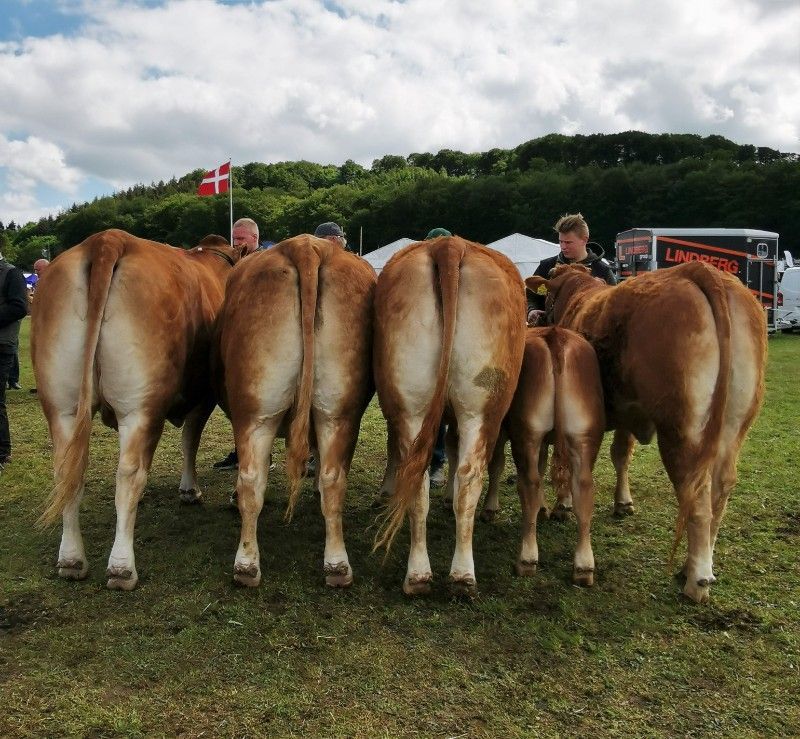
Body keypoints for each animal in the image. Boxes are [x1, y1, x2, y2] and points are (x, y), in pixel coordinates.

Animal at [32, 228, 239, 592]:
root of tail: (107, 240)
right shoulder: (203, 397)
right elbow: (190, 440)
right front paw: (189, 490)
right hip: (141, 407)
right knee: (129, 472)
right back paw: (122, 567)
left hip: (62, 407)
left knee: (67, 471)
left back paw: (71, 560)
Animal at [216, 234, 378, 588]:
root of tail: (305, 246)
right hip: (336, 411)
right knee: (332, 479)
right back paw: (336, 565)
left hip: (256, 412)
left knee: (251, 477)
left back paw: (246, 564)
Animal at [374, 236, 524, 596]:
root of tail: (448, 244)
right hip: (484, 407)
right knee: (468, 475)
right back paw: (460, 574)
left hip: (414, 405)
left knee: (422, 477)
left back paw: (422, 575)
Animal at [478, 328, 604, 584]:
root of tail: (555, 336)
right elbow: (543, 464)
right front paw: (545, 509)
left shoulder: (500, 428)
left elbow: (496, 465)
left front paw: (490, 508)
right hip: (584, 435)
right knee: (584, 487)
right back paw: (584, 567)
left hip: (527, 433)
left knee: (529, 483)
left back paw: (526, 559)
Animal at [528, 260, 764, 600]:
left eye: (546, 297)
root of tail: (700, 270)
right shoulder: (629, 410)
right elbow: (620, 455)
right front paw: (623, 502)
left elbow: (566, 464)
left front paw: (563, 505)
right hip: (734, 426)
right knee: (721, 490)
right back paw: (694, 566)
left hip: (681, 432)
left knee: (697, 494)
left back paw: (696, 582)